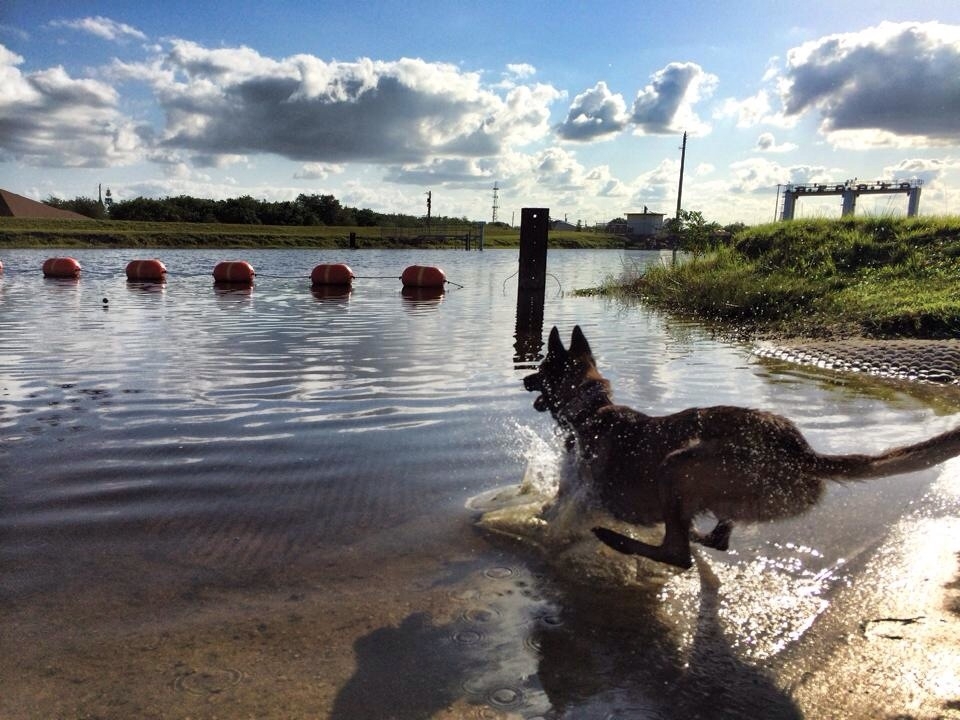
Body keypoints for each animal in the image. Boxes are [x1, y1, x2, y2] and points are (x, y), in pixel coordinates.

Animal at [524, 326, 960, 568]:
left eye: (542, 368)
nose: (525, 378)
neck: (591, 409)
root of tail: (801, 452)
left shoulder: (581, 489)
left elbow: (558, 512)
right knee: (714, 539)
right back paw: (691, 533)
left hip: (678, 464)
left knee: (678, 553)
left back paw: (619, 539)